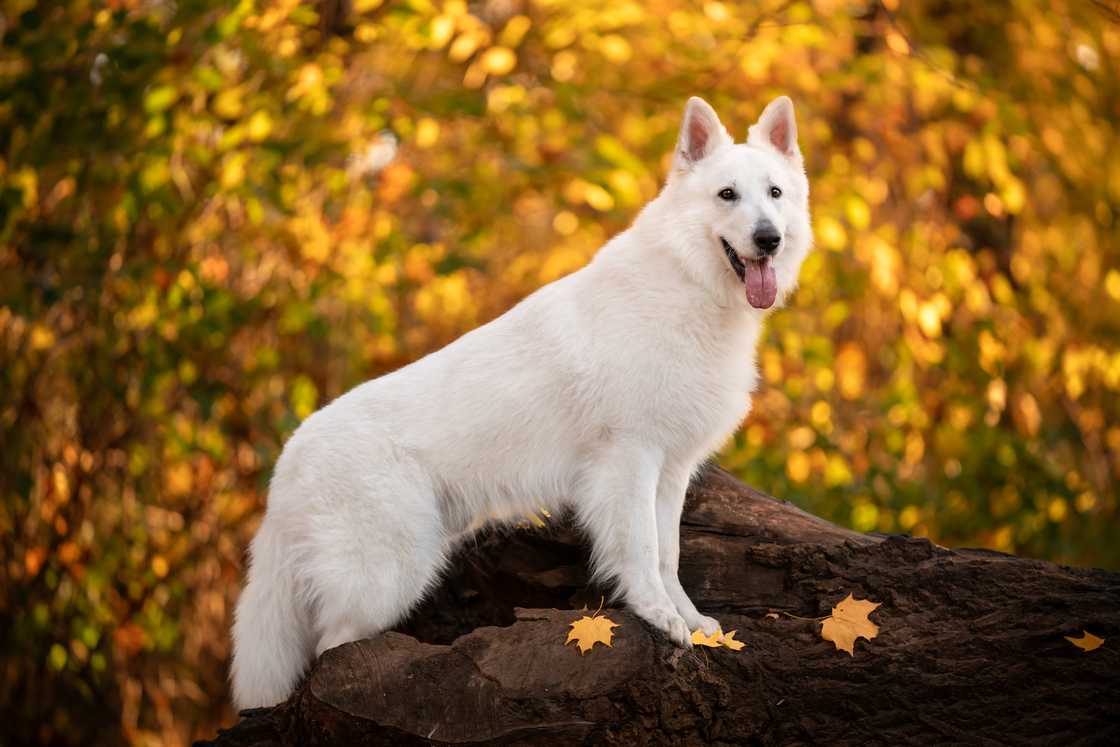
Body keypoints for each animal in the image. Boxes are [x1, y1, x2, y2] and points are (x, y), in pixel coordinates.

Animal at [231, 95, 819, 707]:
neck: (688, 285)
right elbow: (639, 551)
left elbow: (668, 554)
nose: (769, 238)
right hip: (388, 573)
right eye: (727, 195)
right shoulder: (629, 462)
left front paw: (694, 623)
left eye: (774, 193)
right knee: (331, 651)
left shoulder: (670, 471)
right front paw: (657, 616)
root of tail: (288, 462)